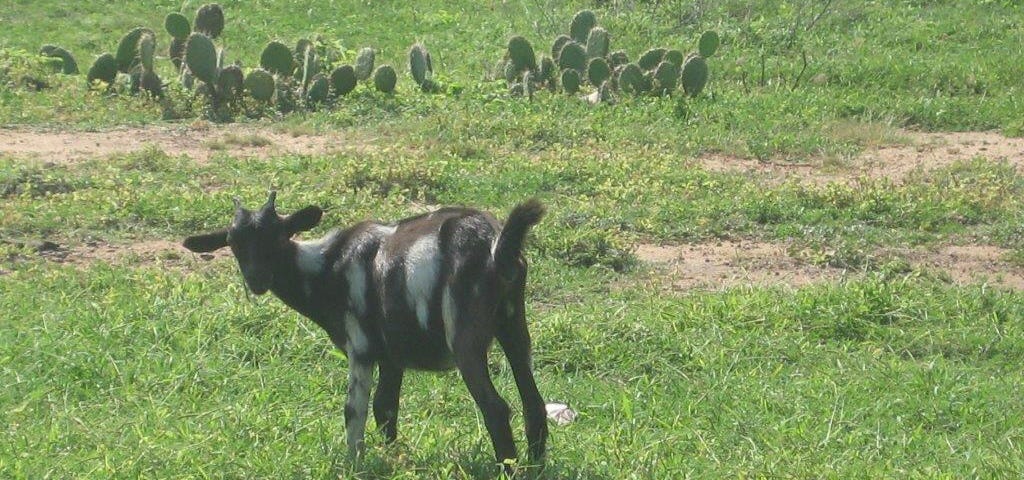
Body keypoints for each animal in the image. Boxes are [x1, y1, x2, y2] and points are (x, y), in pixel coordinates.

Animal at [184, 191, 552, 470]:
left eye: (278, 235)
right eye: (233, 242)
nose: (257, 280)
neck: (327, 266)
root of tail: (495, 245)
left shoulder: (359, 348)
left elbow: (354, 411)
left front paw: (354, 464)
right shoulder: (391, 356)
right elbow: (385, 410)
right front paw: (394, 459)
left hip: (464, 336)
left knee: (496, 408)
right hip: (513, 326)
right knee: (533, 401)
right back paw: (535, 466)